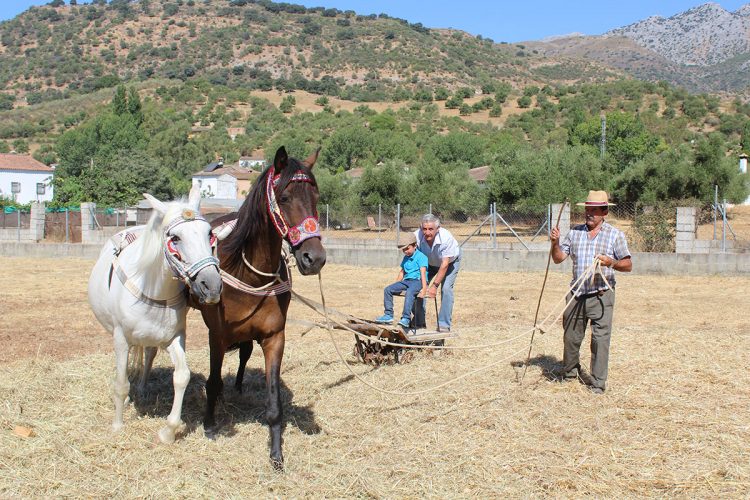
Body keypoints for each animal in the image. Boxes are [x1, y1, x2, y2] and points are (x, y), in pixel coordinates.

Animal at [88, 189, 222, 444]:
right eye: (175, 238)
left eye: (209, 233)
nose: (211, 286)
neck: (152, 288)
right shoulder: (121, 338)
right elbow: (121, 383)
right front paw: (118, 425)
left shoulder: (175, 337)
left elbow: (182, 376)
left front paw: (168, 431)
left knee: (149, 354)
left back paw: (141, 388)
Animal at [194, 145, 326, 468]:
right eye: (285, 198)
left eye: (316, 198)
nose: (314, 258)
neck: (248, 271)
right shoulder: (217, 336)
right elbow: (212, 381)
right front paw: (209, 425)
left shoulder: (274, 337)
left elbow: (274, 401)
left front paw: (276, 454)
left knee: (243, 354)